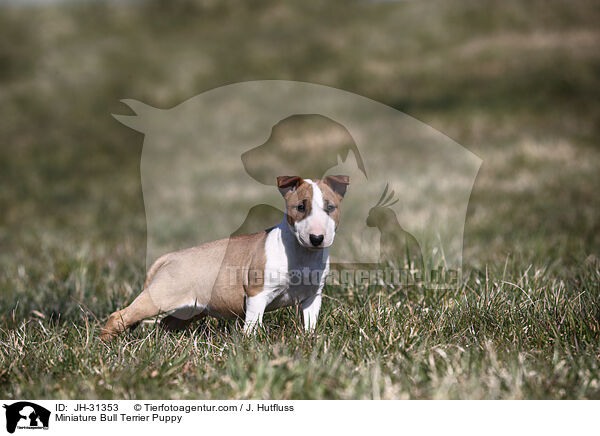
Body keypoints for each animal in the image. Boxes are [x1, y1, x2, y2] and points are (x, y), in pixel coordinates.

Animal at [101, 175, 350, 338]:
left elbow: (309, 323)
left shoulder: (312, 296)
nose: (317, 238)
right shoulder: (257, 293)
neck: (302, 254)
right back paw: (106, 344)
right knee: (120, 316)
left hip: (191, 309)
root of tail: (170, 257)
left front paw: (309, 341)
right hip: (159, 297)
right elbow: (253, 324)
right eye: (300, 207)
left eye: (330, 207)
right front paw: (250, 344)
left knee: (167, 323)